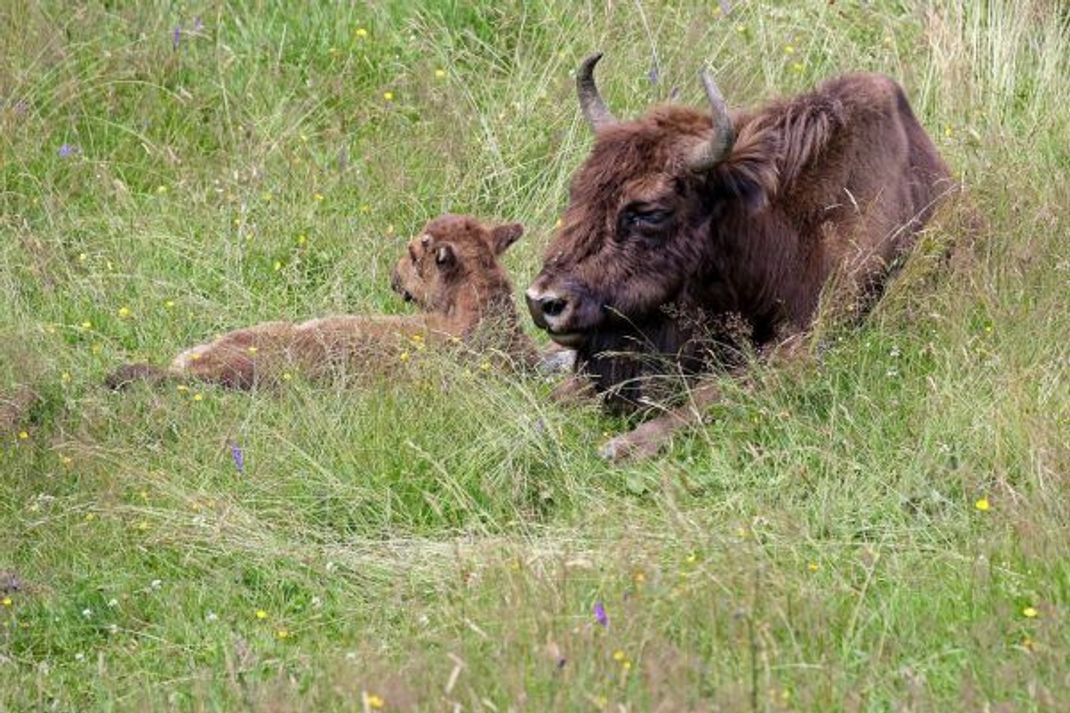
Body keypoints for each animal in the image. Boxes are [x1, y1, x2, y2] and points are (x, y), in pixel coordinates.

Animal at [526, 52, 954, 458]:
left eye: (648, 210)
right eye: (578, 189)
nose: (543, 302)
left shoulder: (808, 341)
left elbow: (712, 393)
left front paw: (622, 446)